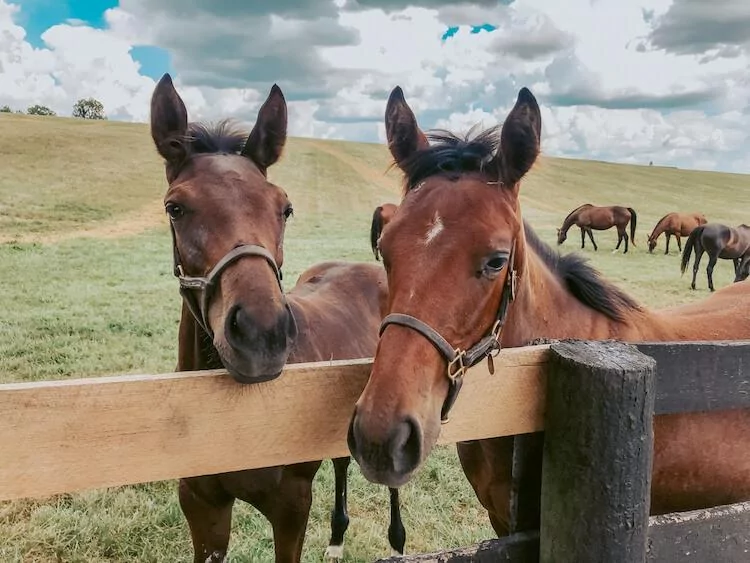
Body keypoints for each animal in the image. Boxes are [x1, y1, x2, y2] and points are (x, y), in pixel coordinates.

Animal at [151, 75, 408, 563]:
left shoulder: (291, 506)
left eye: (284, 208)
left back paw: (397, 540)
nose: (261, 334)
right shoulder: (201, 504)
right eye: (175, 207)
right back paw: (337, 538)